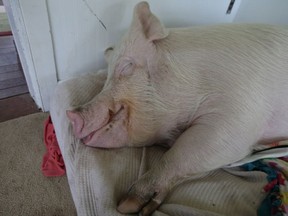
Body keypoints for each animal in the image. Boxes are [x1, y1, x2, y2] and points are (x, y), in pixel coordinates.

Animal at [66, 1, 288, 214]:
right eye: (106, 78)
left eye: (127, 67)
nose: (71, 115)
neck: (193, 79)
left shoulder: (239, 117)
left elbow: (180, 153)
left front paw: (127, 206)